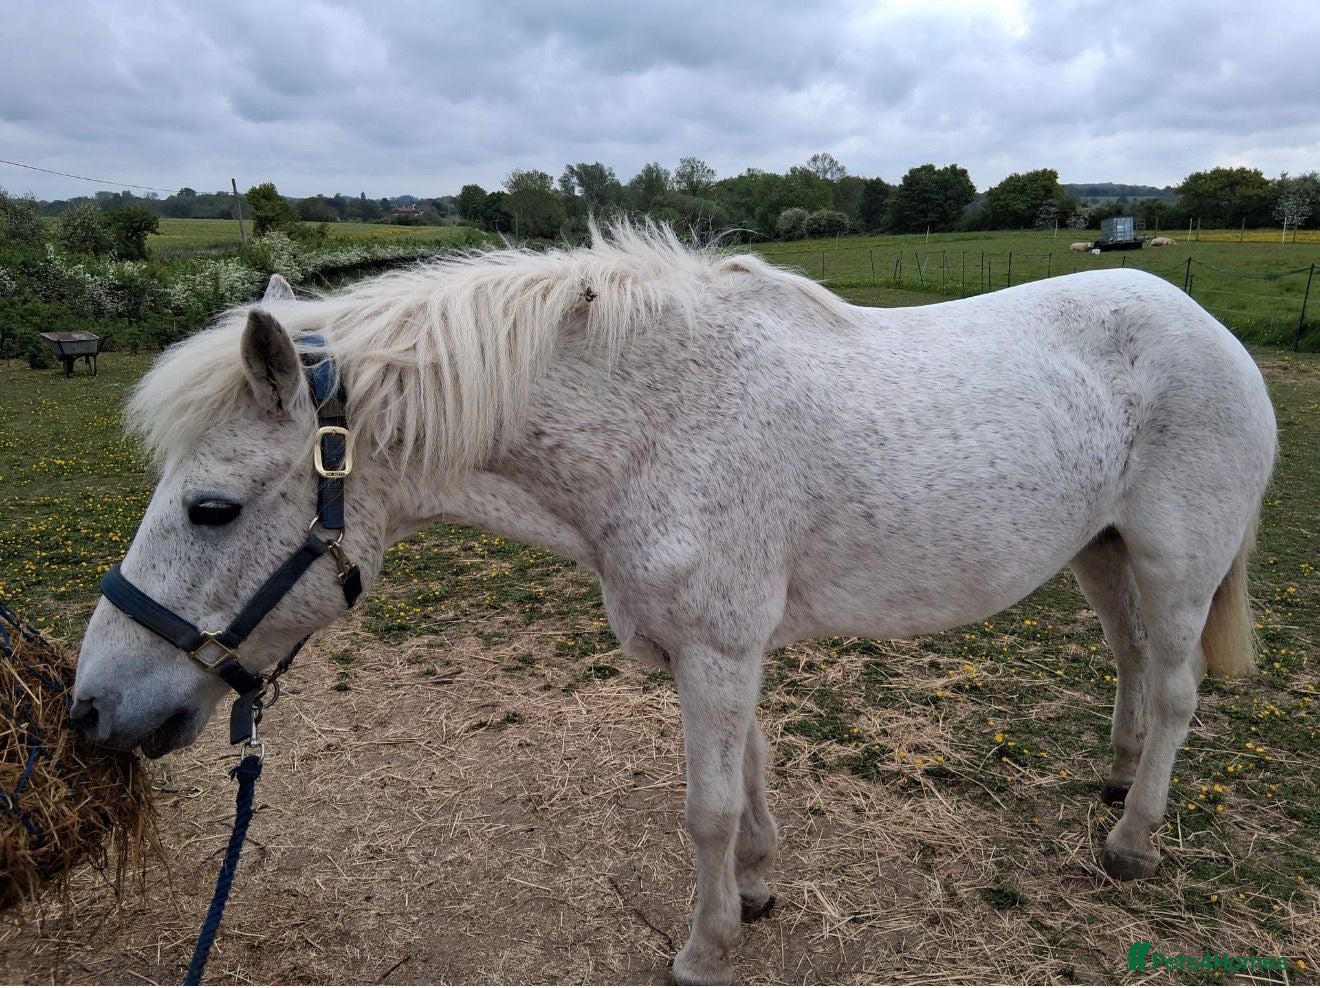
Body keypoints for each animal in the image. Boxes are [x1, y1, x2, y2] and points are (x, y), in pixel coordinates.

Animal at [73, 223, 1276, 985]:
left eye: (212, 508)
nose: (94, 711)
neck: (657, 423)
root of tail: (1207, 328)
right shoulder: (720, 648)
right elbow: (749, 778)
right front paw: (755, 889)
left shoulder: (718, 646)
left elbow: (706, 804)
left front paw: (704, 950)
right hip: (1103, 556)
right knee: (1131, 665)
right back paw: (1116, 776)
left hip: (1175, 562)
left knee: (1176, 690)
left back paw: (1132, 839)